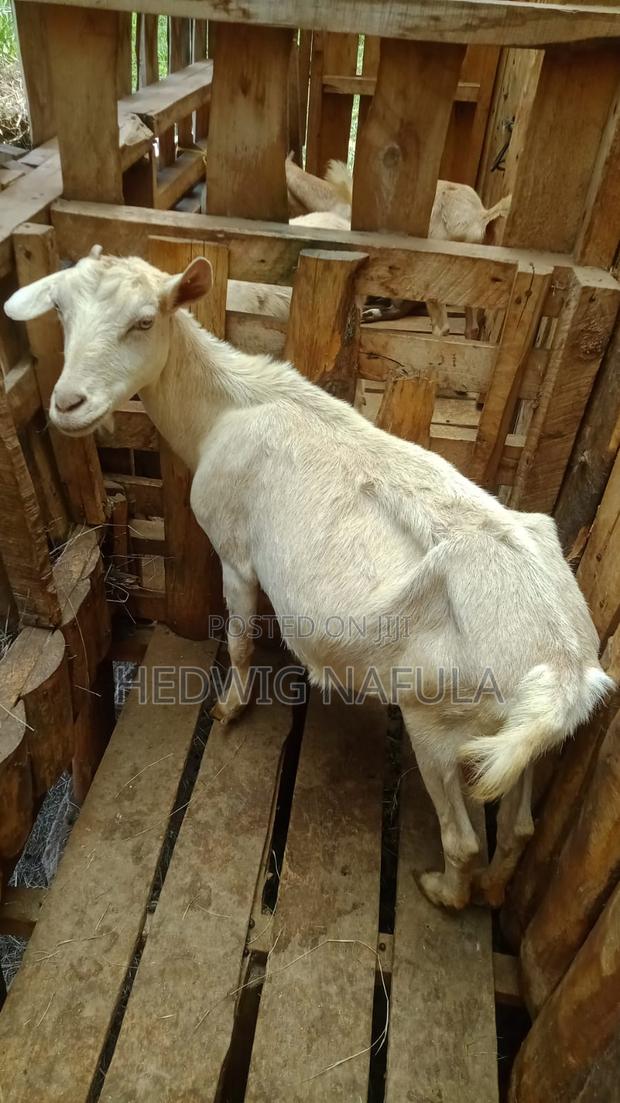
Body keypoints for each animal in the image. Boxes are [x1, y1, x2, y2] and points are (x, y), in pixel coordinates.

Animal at [6, 249, 611, 912]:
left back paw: (443, 892)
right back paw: (498, 889)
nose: (68, 404)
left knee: (464, 840)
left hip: (437, 718)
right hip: (510, 738)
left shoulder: (236, 550)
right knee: (521, 828)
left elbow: (240, 637)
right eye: (62, 311)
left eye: (144, 321)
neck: (227, 408)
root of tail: (565, 668)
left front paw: (230, 707)